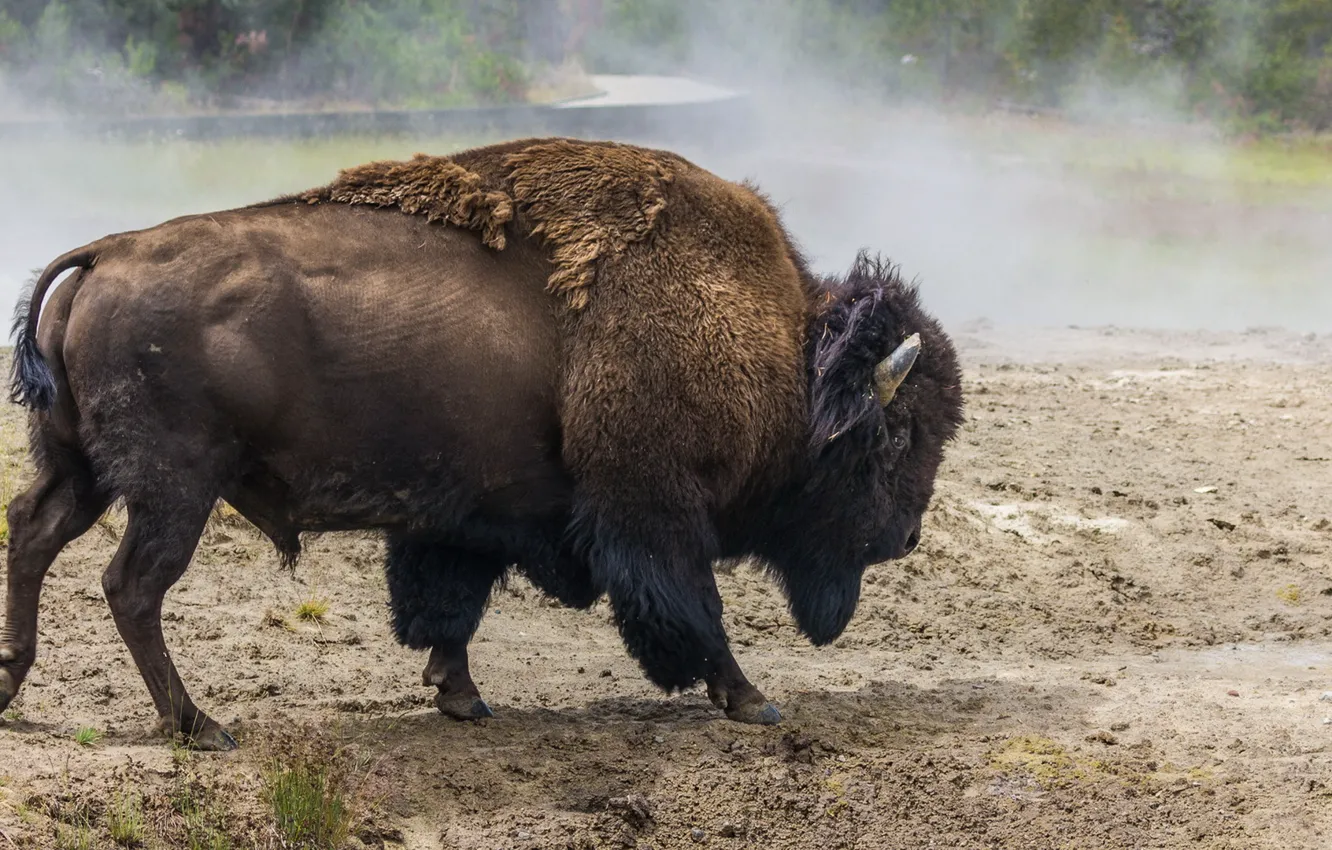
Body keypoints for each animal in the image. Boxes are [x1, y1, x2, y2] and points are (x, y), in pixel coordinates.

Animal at [0, 138, 963, 750]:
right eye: (899, 434)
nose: (908, 535)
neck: (778, 348)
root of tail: (107, 253)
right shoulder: (654, 513)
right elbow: (694, 612)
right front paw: (754, 703)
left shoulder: (461, 520)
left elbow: (449, 606)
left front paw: (460, 698)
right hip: (174, 489)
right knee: (131, 587)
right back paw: (201, 727)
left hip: (85, 472)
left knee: (32, 534)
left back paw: (12, 686)